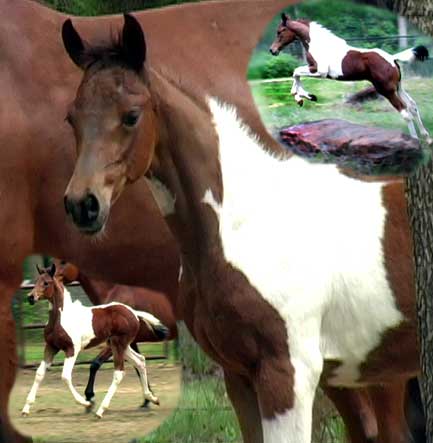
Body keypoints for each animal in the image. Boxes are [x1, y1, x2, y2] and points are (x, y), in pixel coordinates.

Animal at [21, 268, 169, 420]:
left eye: (46, 283)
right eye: (37, 280)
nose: (30, 297)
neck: (61, 318)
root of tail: (133, 312)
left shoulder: (71, 349)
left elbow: (65, 376)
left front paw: (87, 403)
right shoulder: (51, 347)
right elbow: (39, 373)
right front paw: (26, 408)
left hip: (118, 344)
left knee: (119, 372)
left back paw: (101, 410)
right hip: (121, 346)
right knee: (140, 361)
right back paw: (152, 398)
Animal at [56, 260, 177, 410]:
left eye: (63, 262)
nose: (51, 276)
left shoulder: (114, 342)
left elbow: (95, 364)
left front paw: (89, 398)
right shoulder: (129, 343)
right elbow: (138, 366)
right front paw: (148, 400)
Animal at [268, 13, 430, 142]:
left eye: (280, 31)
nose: (272, 50)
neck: (319, 44)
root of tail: (392, 58)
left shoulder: (319, 71)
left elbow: (295, 72)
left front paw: (302, 97)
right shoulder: (315, 70)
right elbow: (296, 74)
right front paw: (304, 97)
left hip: (386, 90)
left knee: (405, 112)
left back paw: (415, 141)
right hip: (398, 88)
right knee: (413, 106)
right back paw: (427, 138)